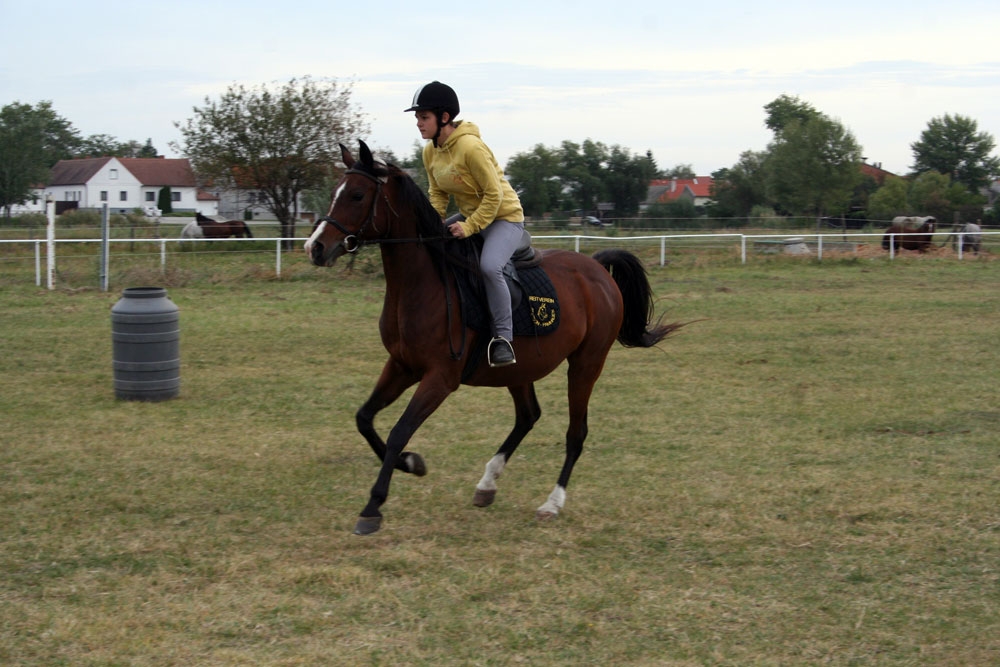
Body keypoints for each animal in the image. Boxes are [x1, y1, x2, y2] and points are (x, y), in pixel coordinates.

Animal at [300, 142, 684, 536]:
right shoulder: (402, 365)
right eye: (335, 193)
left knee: (575, 433)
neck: (423, 283)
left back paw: (551, 503)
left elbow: (398, 431)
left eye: (357, 195)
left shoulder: (440, 378)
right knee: (528, 416)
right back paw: (487, 484)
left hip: (585, 364)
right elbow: (364, 418)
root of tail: (596, 269)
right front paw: (412, 464)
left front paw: (373, 506)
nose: (315, 248)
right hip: (519, 367)